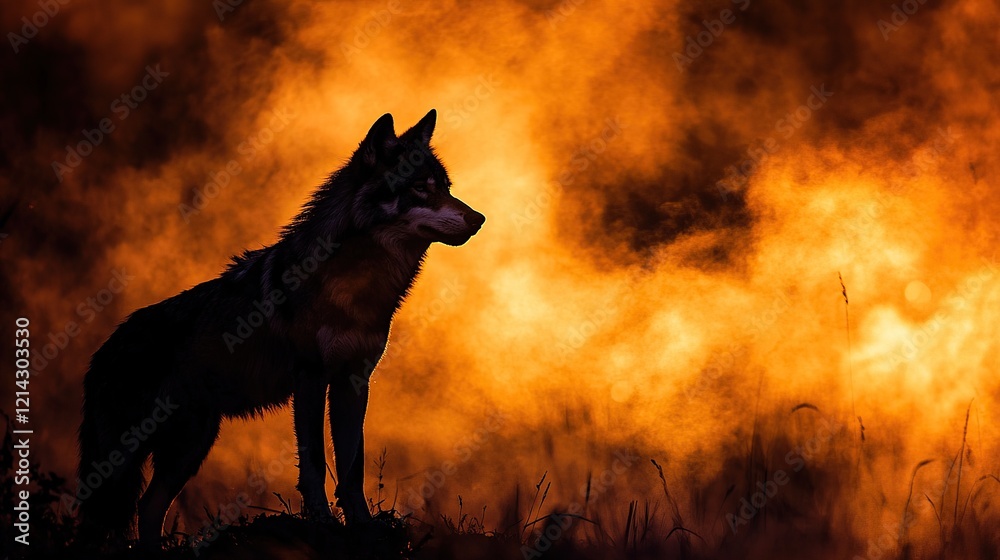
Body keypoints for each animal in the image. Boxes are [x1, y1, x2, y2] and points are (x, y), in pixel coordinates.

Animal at [76, 109, 484, 549]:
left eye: (446, 188)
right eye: (420, 189)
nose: (478, 219)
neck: (358, 286)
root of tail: (103, 349)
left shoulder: (354, 381)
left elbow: (352, 466)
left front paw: (363, 527)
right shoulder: (310, 377)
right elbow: (316, 463)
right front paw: (322, 524)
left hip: (190, 446)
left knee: (148, 509)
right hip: (127, 461)